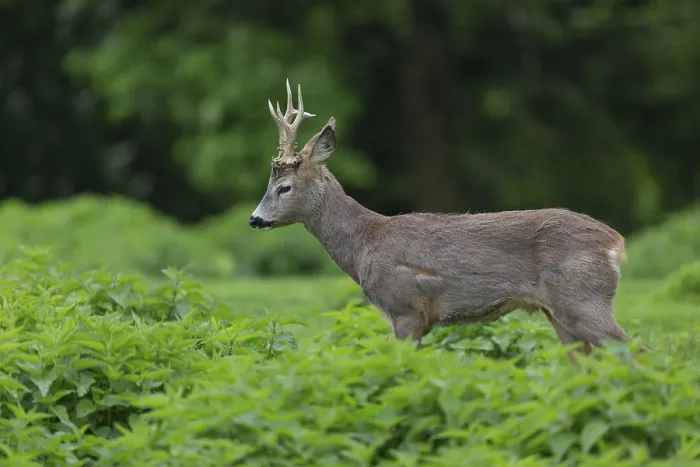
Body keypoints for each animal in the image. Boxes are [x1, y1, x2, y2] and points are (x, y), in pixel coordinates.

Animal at [249, 79, 647, 366]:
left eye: (284, 187)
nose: (255, 219)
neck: (365, 244)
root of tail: (616, 243)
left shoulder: (405, 307)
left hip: (583, 298)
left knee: (636, 353)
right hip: (560, 313)